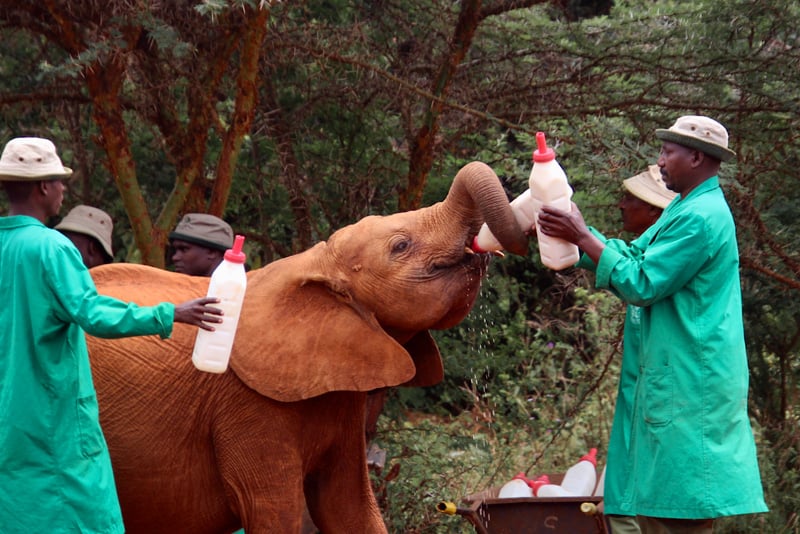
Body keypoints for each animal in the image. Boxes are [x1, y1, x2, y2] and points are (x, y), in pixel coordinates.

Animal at [87, 161, 528, 532]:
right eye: (400, 246)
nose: (491, 246)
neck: (318, 264)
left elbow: (349, 507)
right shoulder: (246, 407)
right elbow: (272, 509)